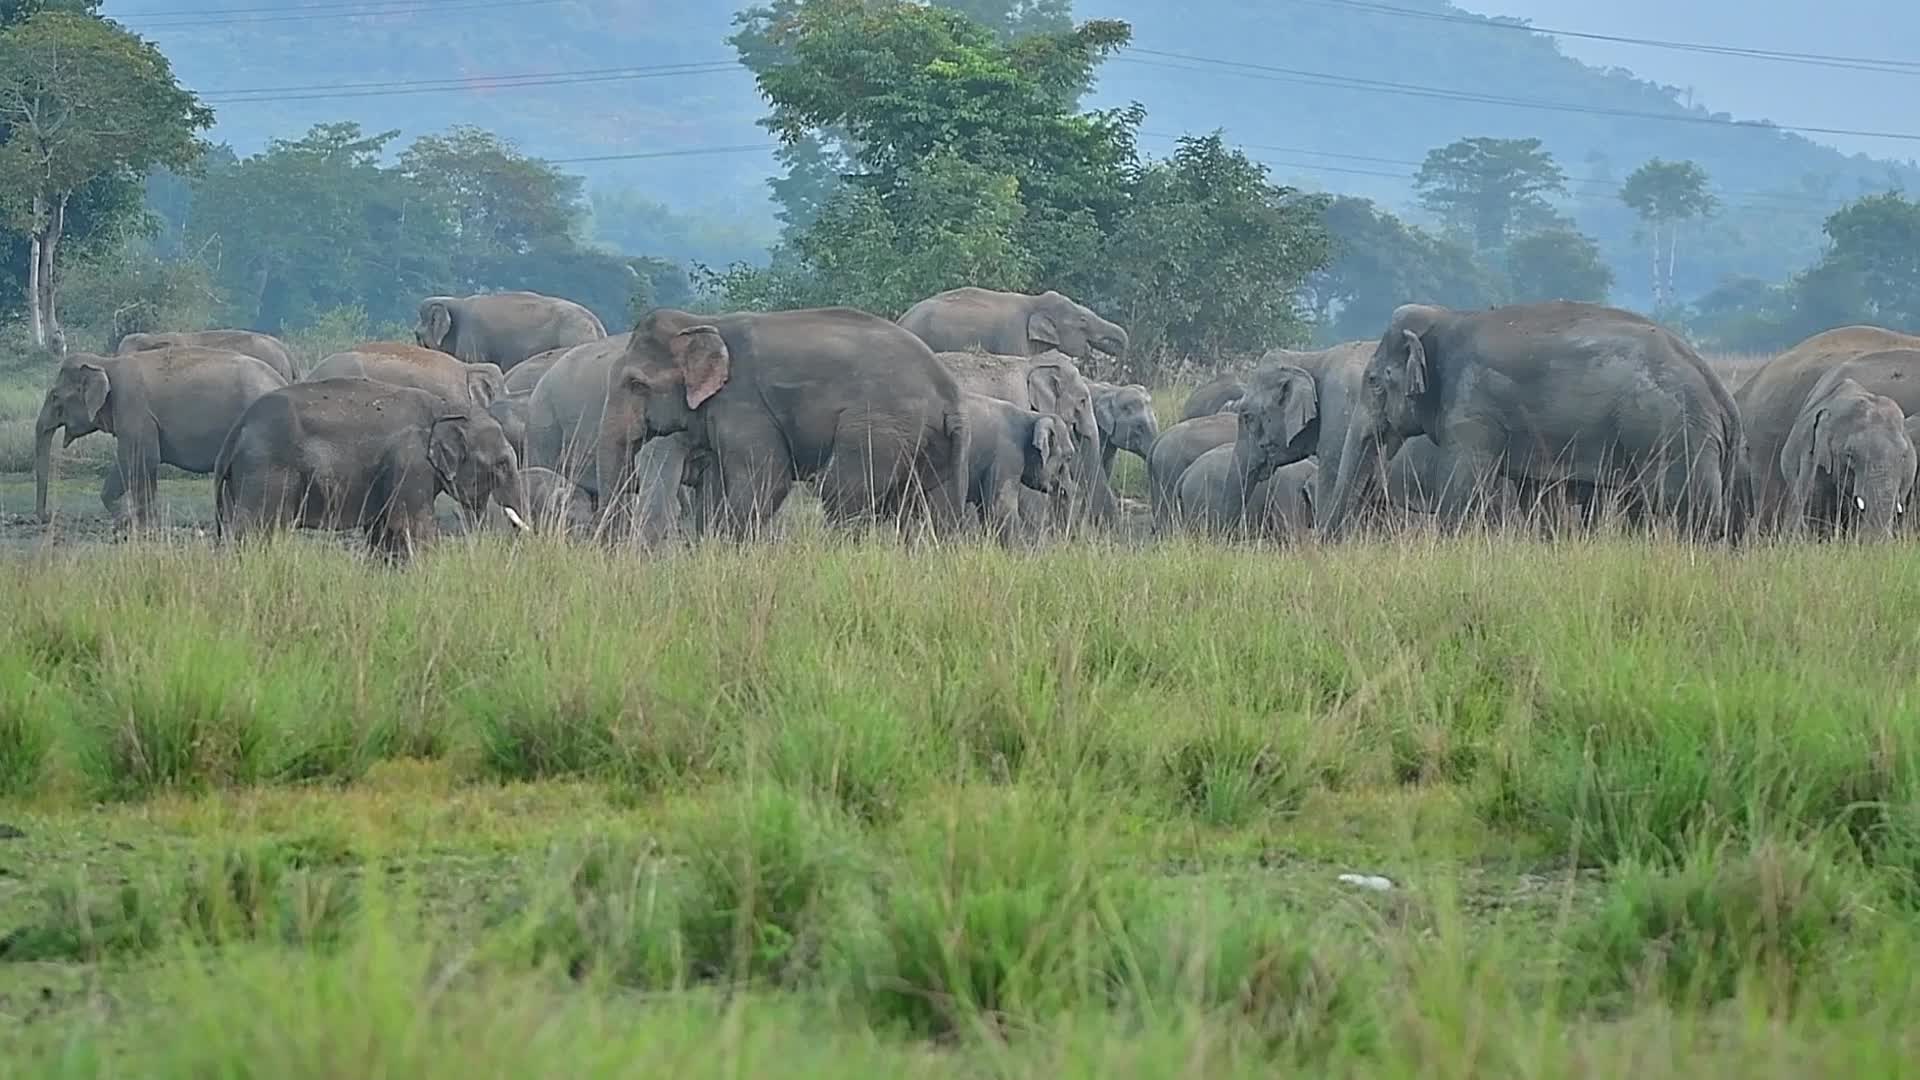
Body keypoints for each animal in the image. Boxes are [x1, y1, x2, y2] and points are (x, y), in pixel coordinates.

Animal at [33, 348, 288, 526]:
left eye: (55, 397)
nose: (47, 517)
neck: (105, 363)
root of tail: (282, 381)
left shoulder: (134, 408)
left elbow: (139, 458)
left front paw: (126, 521)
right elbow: (147, 467)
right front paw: (145, 523)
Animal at [213, 378, 531, 558]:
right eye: (502, 464)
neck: (445, 408)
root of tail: (236, 430)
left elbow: (384, 530)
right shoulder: (410, 459)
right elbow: (412, 525)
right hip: (266, 469)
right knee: (256, 528)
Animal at [597, 307, 971, 540]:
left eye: (636, 384)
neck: (704, 321)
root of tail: (948, 396)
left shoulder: (745, 406)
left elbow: (765, 482)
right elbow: (716, 485)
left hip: (878, 427)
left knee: (840, 490)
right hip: (931, 444)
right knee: (930, 504)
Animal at [1317, 302, 1744, 541]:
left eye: (1373, 381)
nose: (1326, 541)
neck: (1448, 319)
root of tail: (1720, 394)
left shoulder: (1473, 411)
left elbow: (1461, 489)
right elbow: (1534, 496)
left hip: (1672, 436)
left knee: (1685, 510)